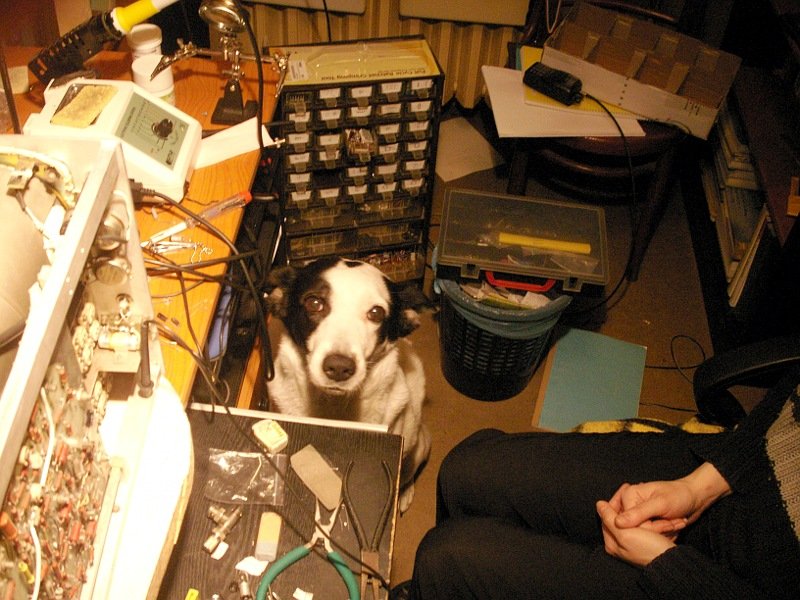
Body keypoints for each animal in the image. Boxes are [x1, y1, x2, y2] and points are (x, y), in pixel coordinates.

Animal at [265, 257, 431, 511]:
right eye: (314, 303)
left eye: (376, 313)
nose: (339, 367)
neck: (333, 409)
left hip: (419, 443)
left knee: (408, 471)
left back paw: (404, 492)